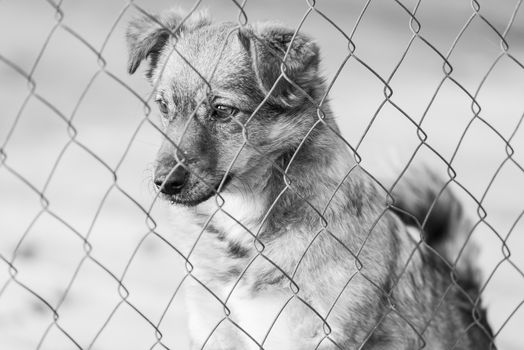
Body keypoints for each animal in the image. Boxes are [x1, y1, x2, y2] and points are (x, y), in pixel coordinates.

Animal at [126, 8, 492, 350]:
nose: (164, 182)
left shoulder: (326, 333)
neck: (249, 224)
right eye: (163, 107)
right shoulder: (214, 327)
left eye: (223, 110)